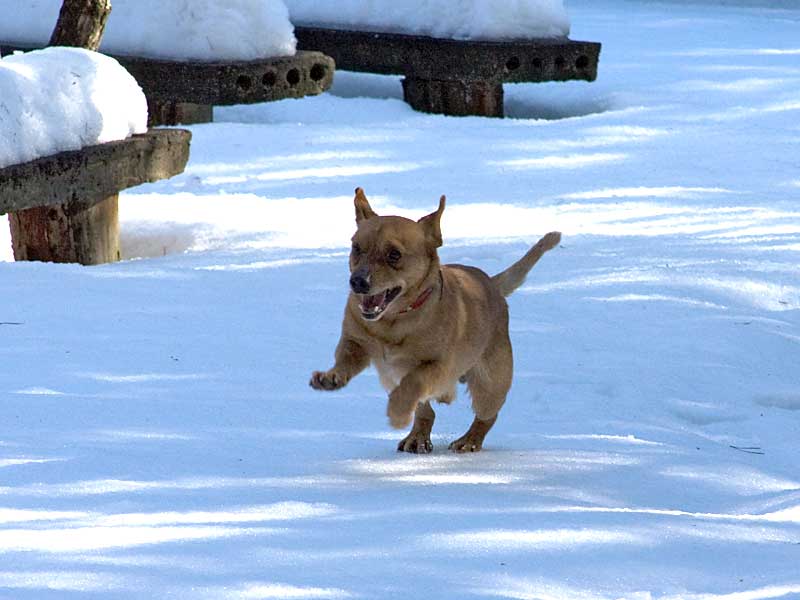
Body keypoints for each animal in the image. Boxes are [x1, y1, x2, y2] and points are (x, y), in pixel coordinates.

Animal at [310, 188, 561, 453]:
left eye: (394, 254)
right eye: (357, 248)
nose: (357, 281)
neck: (394, 321)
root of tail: (492, 283)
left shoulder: (439, 365)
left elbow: (414, 380)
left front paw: (397, 413)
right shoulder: (356, 341)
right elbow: (346, 359)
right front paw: (330, 377)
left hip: (492, 381)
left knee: (486, 415)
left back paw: (469, 440)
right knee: (426, 412)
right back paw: (417, 437)